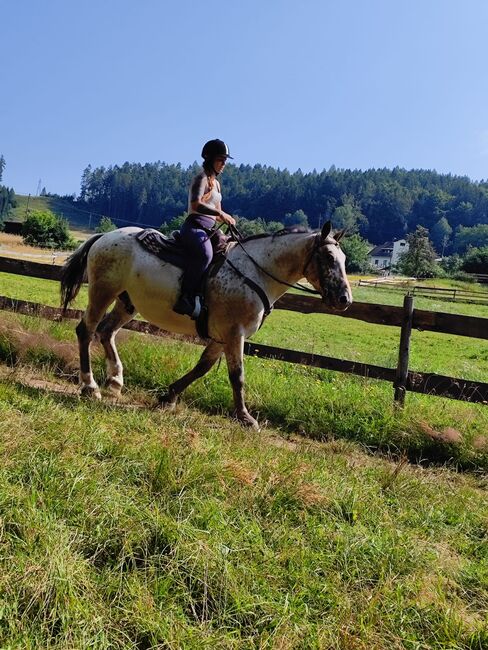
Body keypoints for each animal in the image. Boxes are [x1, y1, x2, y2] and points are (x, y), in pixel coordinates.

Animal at [60, 221, 352, 429]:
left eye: (345, 259)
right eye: (328, 257)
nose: (344, 299)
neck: (256, 272)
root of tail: (105, 236)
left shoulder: (221, 337)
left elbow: (202, 368)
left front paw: (168, 396)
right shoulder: (235, 334)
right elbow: (237, 376)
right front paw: (245, 418)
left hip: (126, 303)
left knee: (106, 332)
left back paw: (115, 380)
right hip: (102, 292)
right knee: (86, 331)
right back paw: (89, 386)